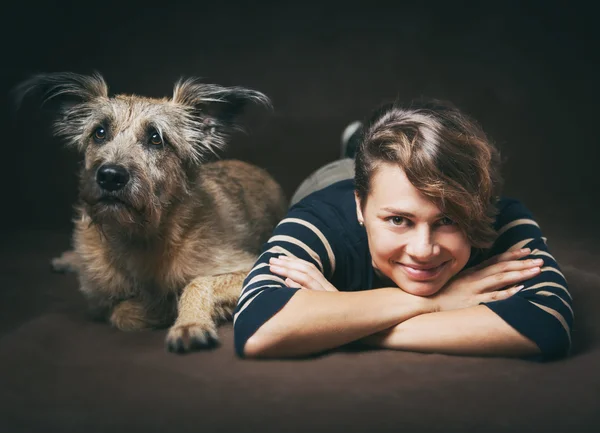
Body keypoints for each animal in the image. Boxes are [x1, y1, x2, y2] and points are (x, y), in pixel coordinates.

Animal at [14, 72, 286, 352]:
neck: (138, 237)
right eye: (99, 133)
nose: (110, 176)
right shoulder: (98, 296)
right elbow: (118, 311)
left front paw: (188, 323)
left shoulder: (252, 266)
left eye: (156, 138)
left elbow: (196, 283)